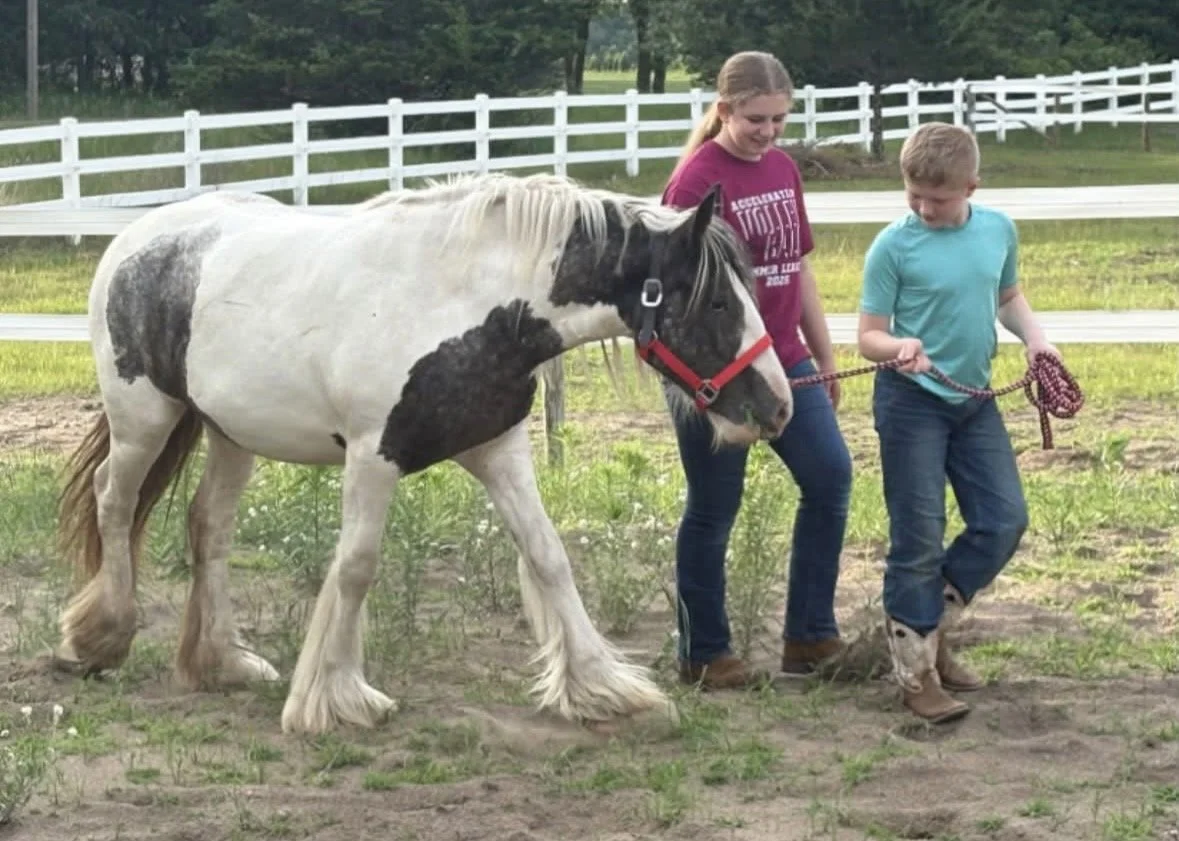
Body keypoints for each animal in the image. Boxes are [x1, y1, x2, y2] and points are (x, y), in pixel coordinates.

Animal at [53, 171, 793, 734]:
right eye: (717, 302)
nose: (778, 407)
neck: (463, 304)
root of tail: (134, 241)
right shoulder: (373, 456)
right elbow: (355, 568)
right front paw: (334, 699)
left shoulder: (498, 448)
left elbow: (548, 556)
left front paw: (603, 688)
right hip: (143, 418)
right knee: (114, 500)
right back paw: (100, 637)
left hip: (230, 433)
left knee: (208, 526)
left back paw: (221, 662)